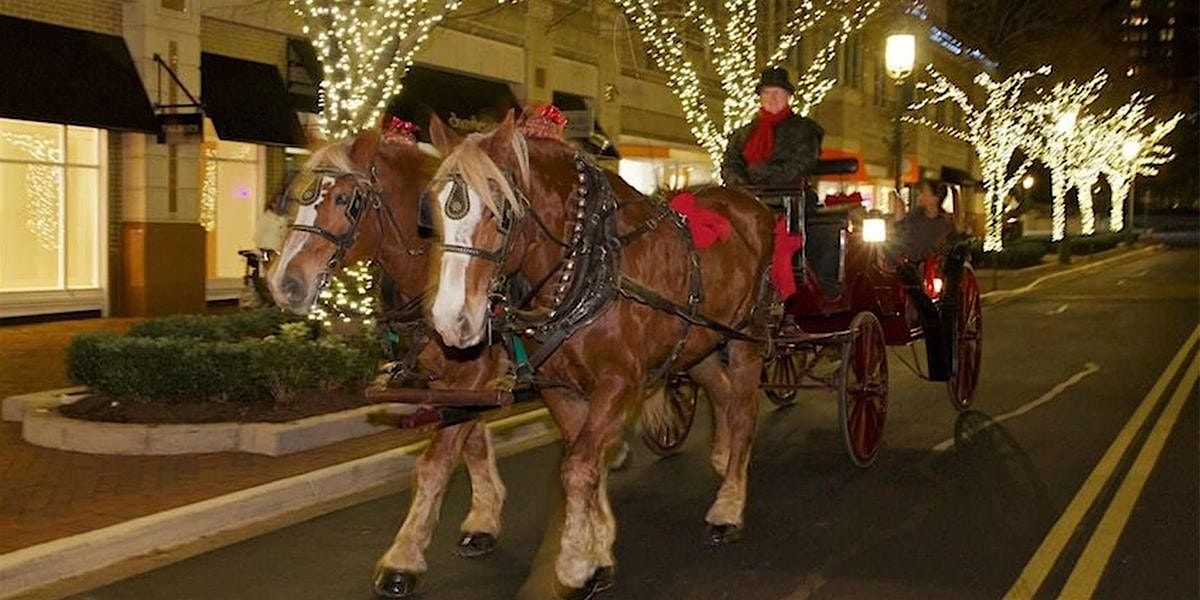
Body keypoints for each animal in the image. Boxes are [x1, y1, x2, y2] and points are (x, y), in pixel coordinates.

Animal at [262, 129, 511, 597]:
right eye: (296, 197)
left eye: (346, 200)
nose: (284, 283)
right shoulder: (447, 380)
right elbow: (470, 443)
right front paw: (485, 519)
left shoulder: (475, 372)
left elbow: (436, 462)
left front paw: (403, 558)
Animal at [427, 111, 772, 595]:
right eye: (435, 211)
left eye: (503, 214)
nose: (451, 321)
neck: (591, 265)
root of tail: (749, 202)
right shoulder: (560, 388)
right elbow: (585, 462)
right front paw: (597, 550)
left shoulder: (619, 382)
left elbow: (577, 467)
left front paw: (574, 562)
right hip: (699, 340)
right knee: (720, 393)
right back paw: (724, 461)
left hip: (747, 336)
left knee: (743, 410)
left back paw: (728, 506)